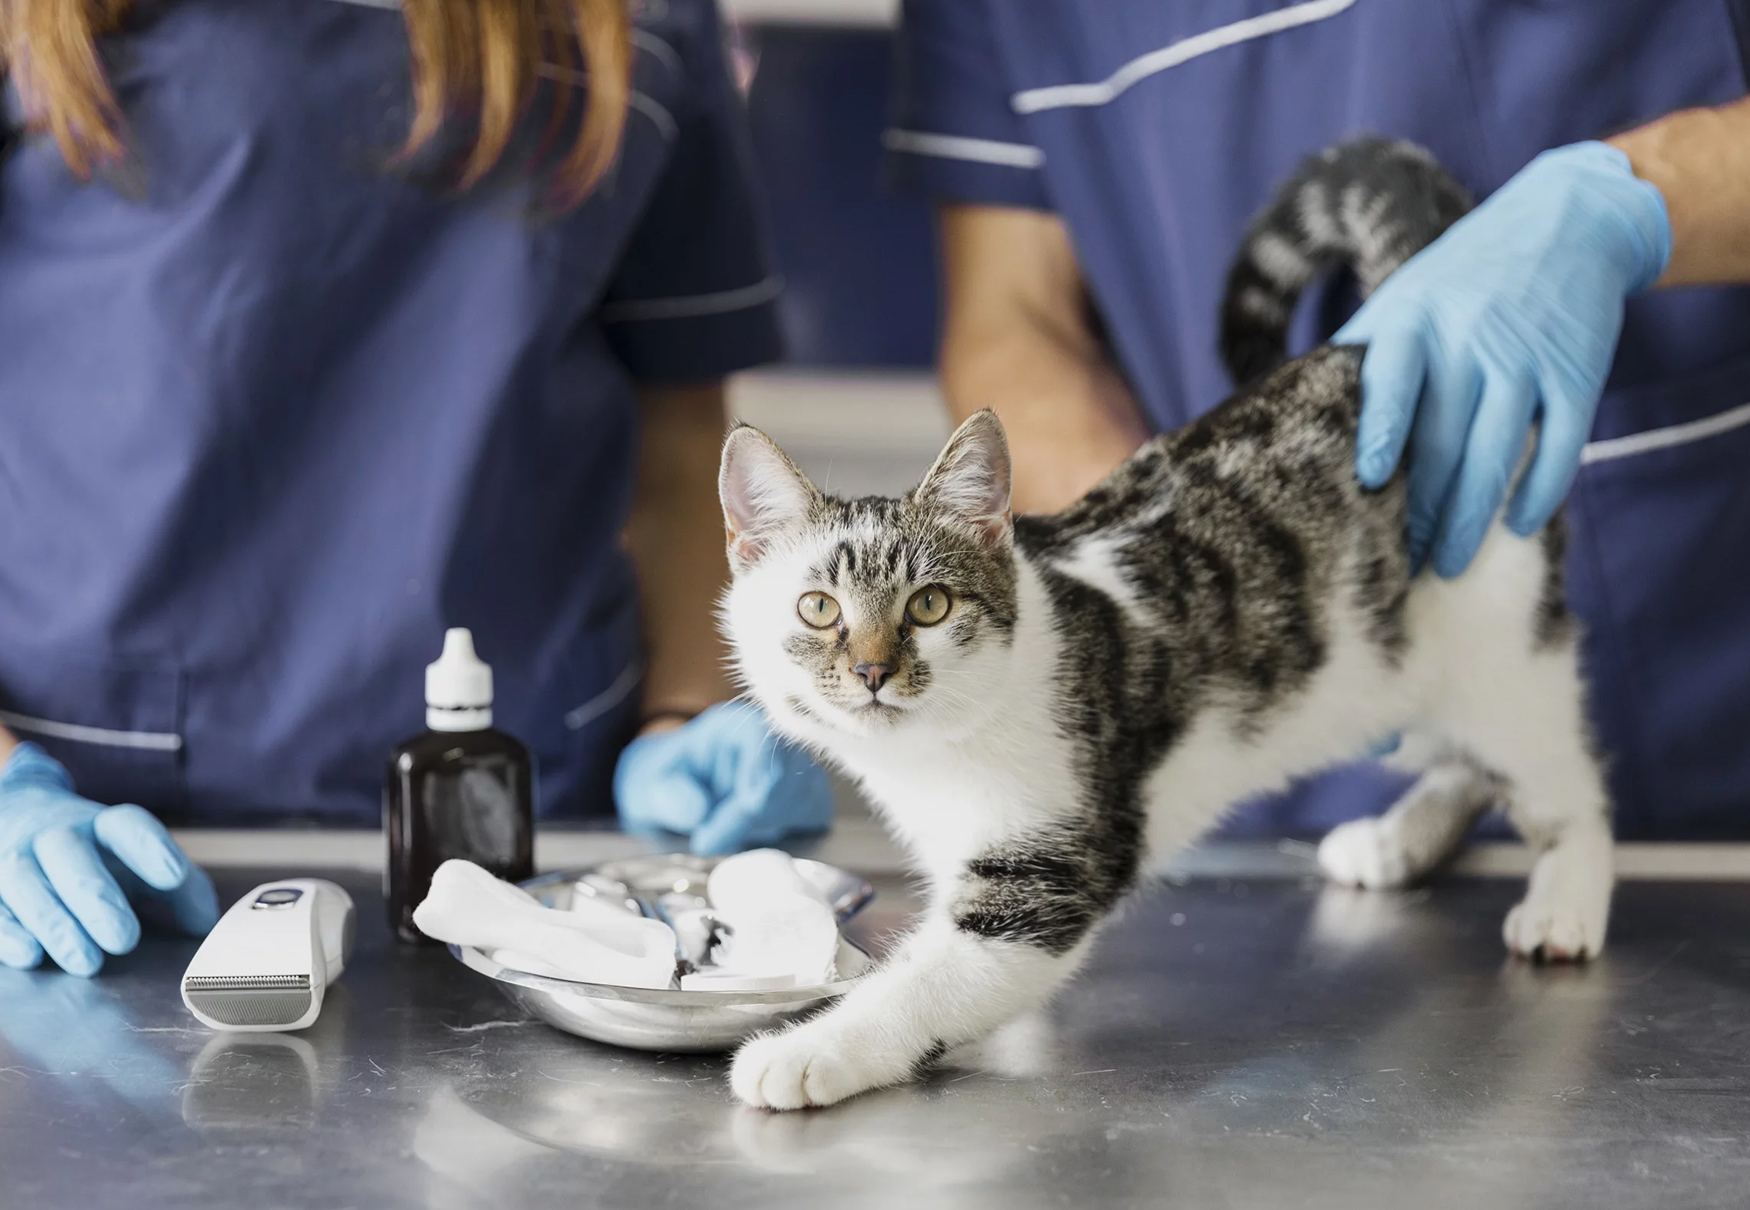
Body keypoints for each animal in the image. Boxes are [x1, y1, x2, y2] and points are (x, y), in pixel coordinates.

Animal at [714, 137, 1610, 1113]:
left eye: (929, 605)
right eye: (818, 608)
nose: (873, 671)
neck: (938, 750)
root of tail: (1391, 352)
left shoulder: (1050, 873)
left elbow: (929, 981)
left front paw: (810, 1050)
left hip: (1500, 640)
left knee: (1563, 781)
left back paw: (1566, 890)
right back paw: (1398, 839)